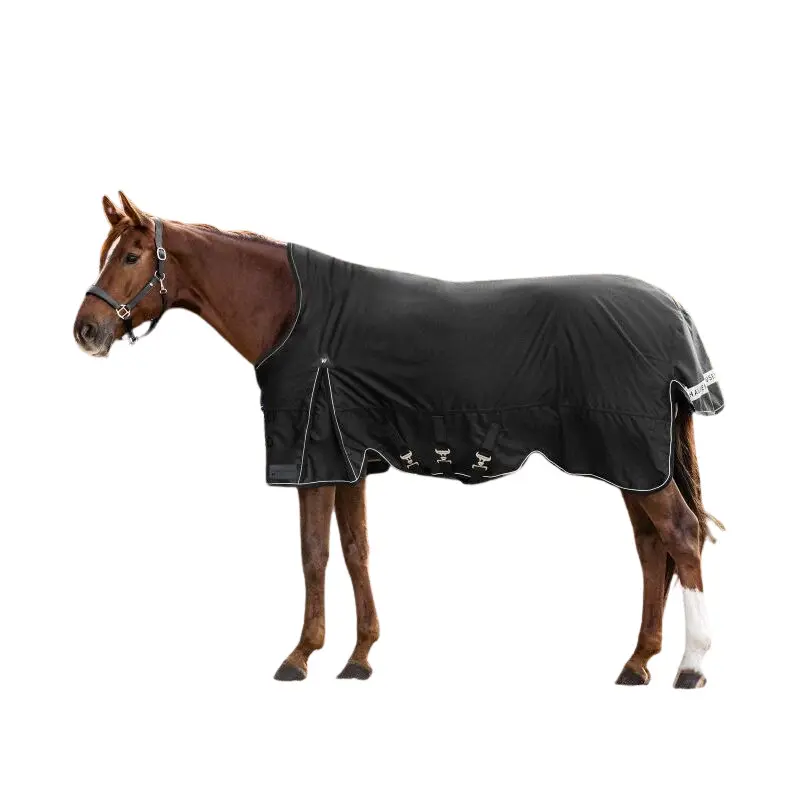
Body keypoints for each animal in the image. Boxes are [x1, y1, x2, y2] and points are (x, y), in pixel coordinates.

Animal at [73, 192, 723, 687]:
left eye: (131, 255)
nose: (86, 330)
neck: (295, 313)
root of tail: (673, 312)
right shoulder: (349, 461)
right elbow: (355, 550)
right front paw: (359, 657)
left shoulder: (313, 459)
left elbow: (314, 554)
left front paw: (299, 655)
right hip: (632, 464)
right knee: (652, 548)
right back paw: (638, 662)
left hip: (633, 458)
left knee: (681, 535)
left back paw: (691, 666)